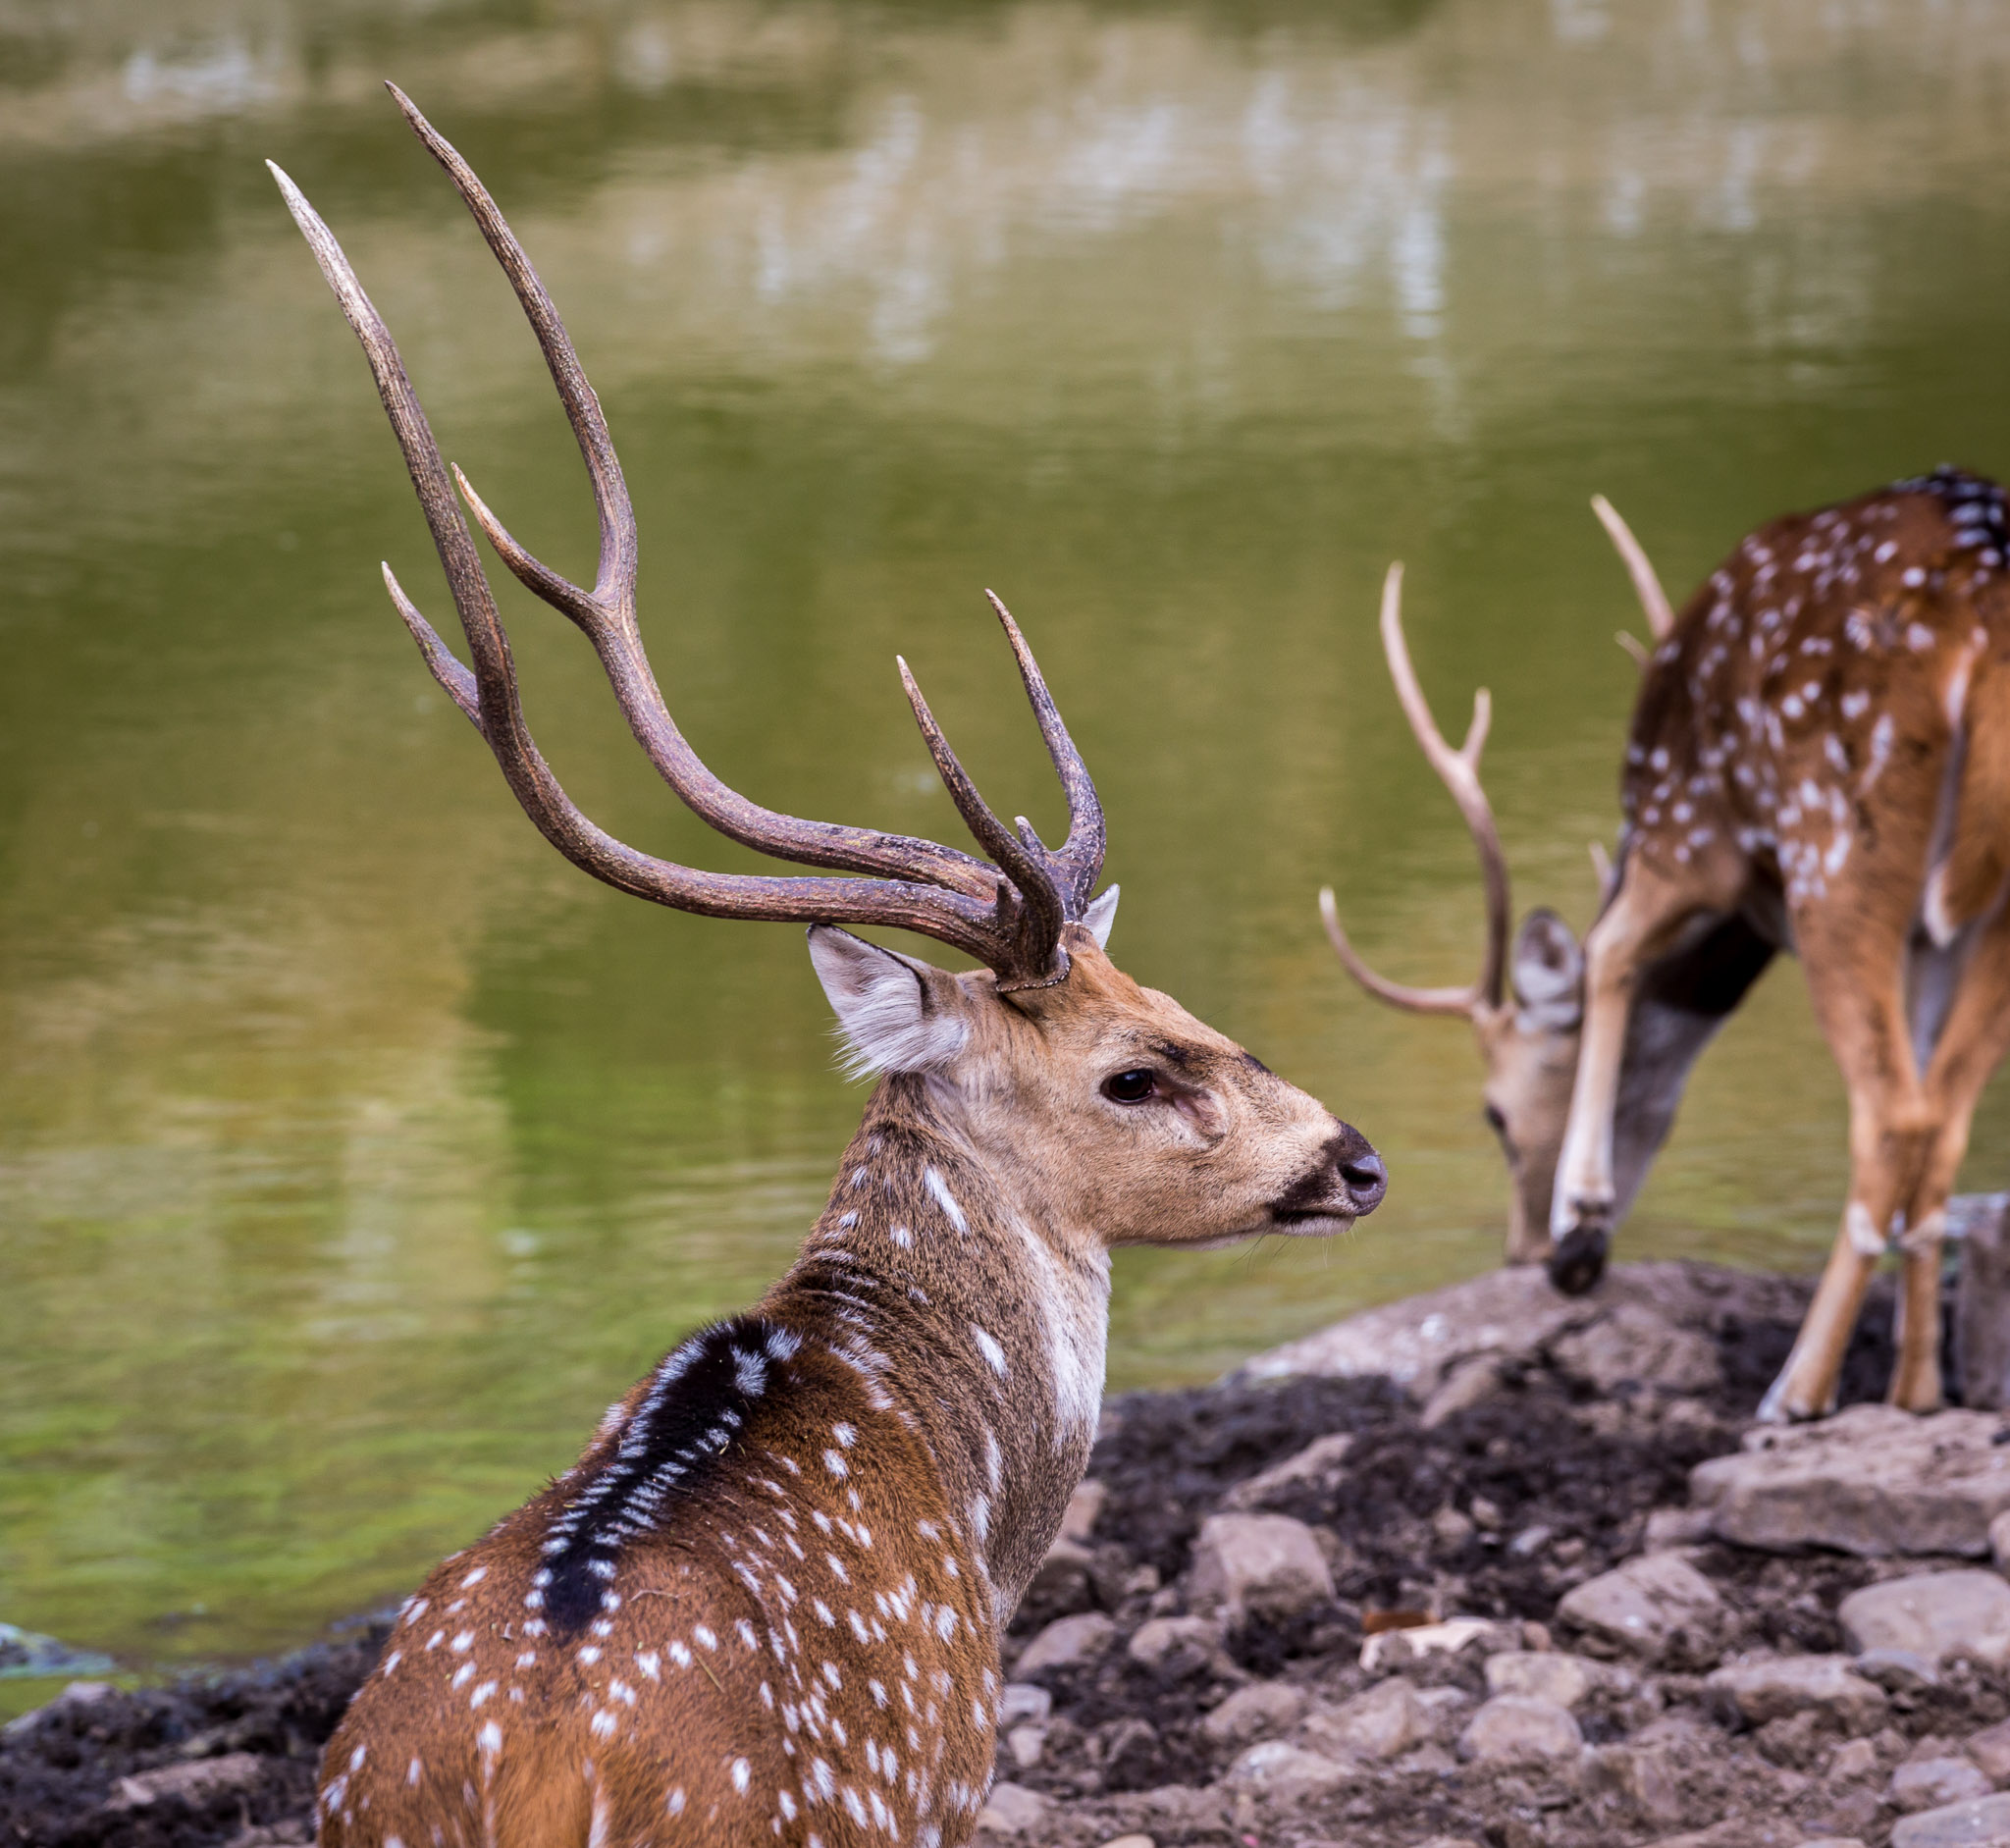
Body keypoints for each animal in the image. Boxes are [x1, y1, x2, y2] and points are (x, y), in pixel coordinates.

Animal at [275, 90, 1391, 1848]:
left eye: (1171, 999)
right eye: (1135, 1068)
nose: (1356, 1159)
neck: (968, 1497)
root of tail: (526, 1772)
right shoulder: (946, 1779)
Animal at [1318, 470, 2010, 1423]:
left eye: (1496, 1114)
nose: (1529, 1257)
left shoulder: (1684, 830)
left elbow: (1611, 948)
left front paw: (1582, 1208)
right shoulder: (1929, 941)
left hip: (1836, 844)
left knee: (1892, 1115)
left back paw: (1795, 1388)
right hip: (1988, 897)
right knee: (1941, 1120)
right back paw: (1913, 1392)